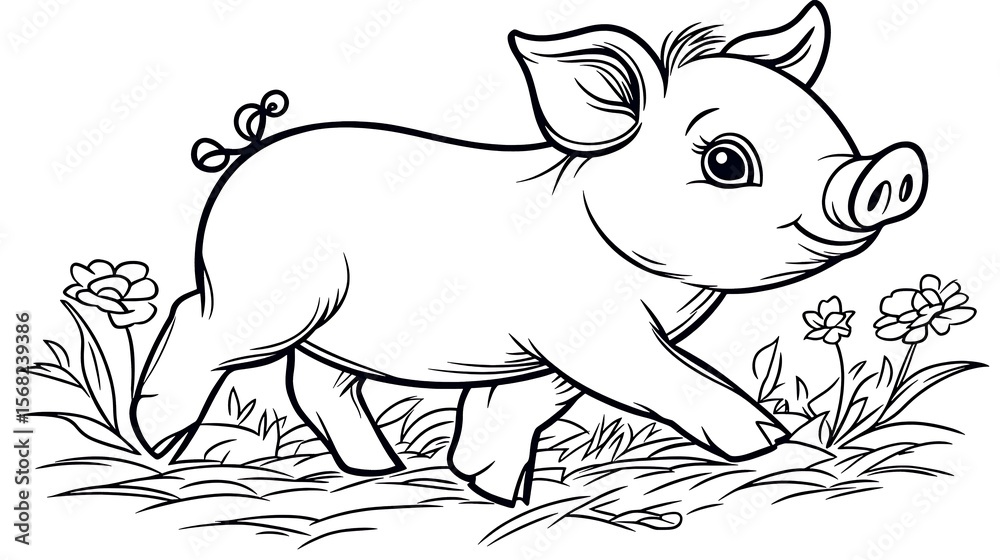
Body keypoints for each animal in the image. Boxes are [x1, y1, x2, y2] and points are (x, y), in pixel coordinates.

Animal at [132, 1, 927, 506]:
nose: (891, 170)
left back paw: (384, 470)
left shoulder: (541, 356)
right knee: (196, 322)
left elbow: (518, 405)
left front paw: (492, 492)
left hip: (335, 332)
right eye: (727, 161)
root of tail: (252, 152)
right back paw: (158, 440)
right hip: (261, 298)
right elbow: (672, 377)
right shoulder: (591, 336)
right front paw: (768, 440)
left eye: (831, 130)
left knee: (315, 385)